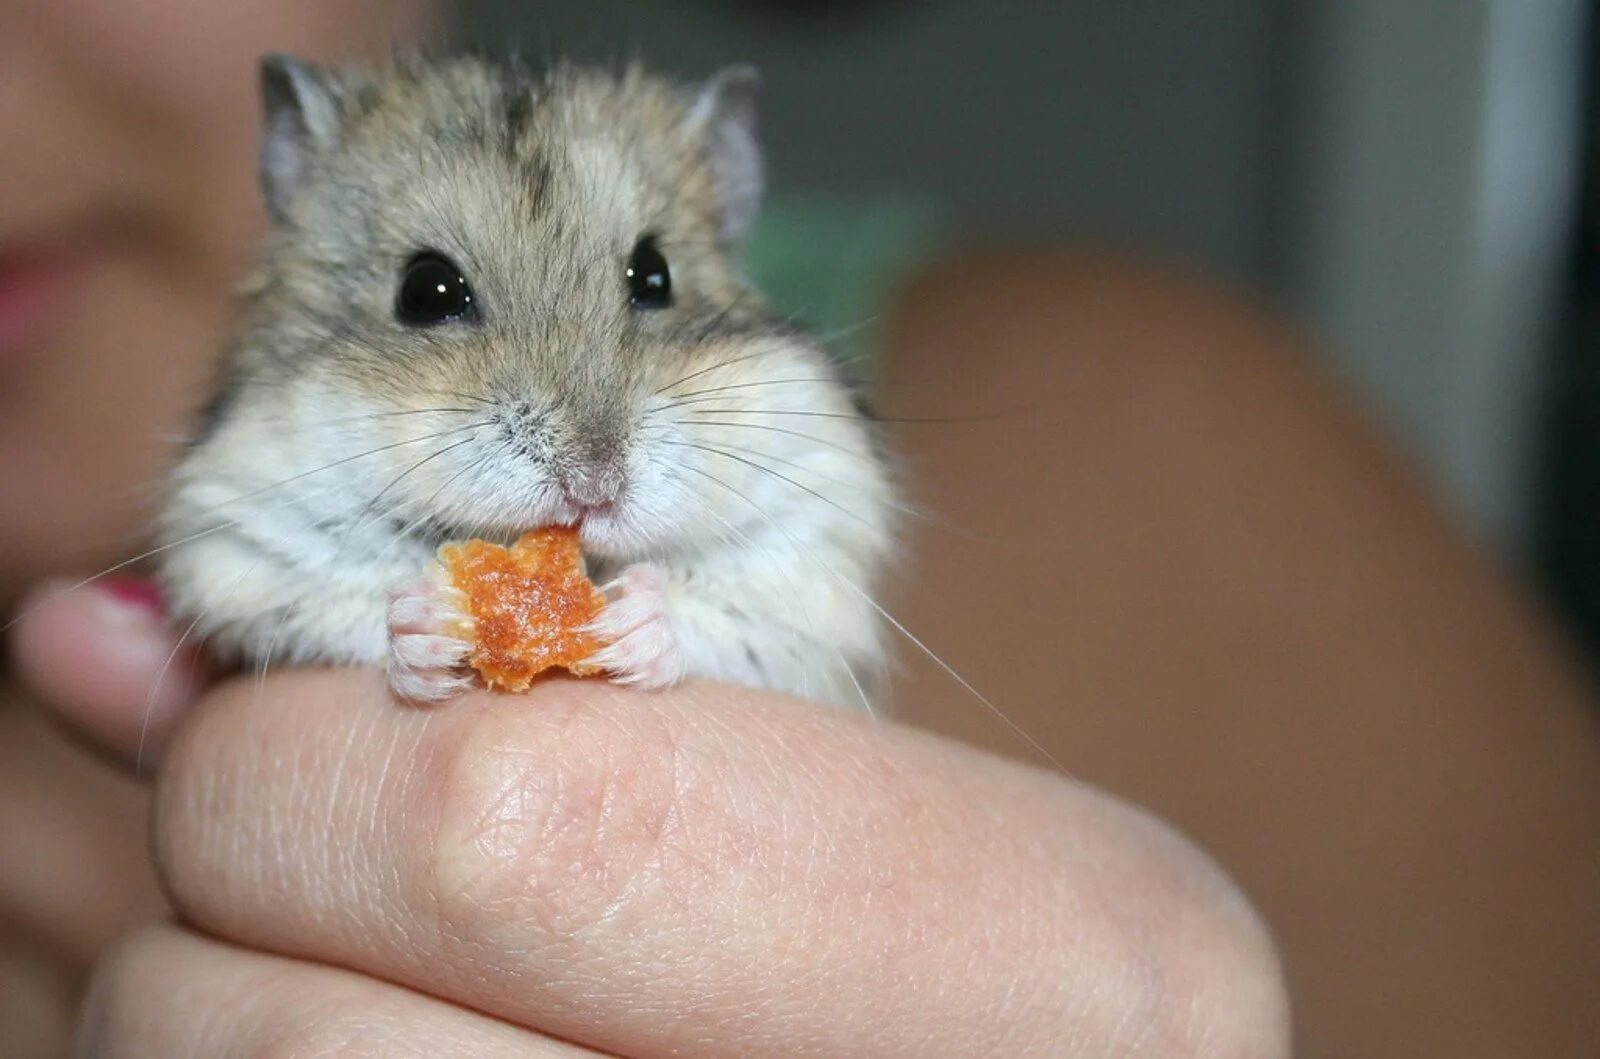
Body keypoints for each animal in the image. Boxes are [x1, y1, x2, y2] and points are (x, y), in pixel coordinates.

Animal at [157, 49, 908, 713]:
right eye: (425, 291)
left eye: (655, 275)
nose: (594, 488)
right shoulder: (241, 546)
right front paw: (426, 620)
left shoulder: (814, 553)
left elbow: (735, 607)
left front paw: (630, 621)